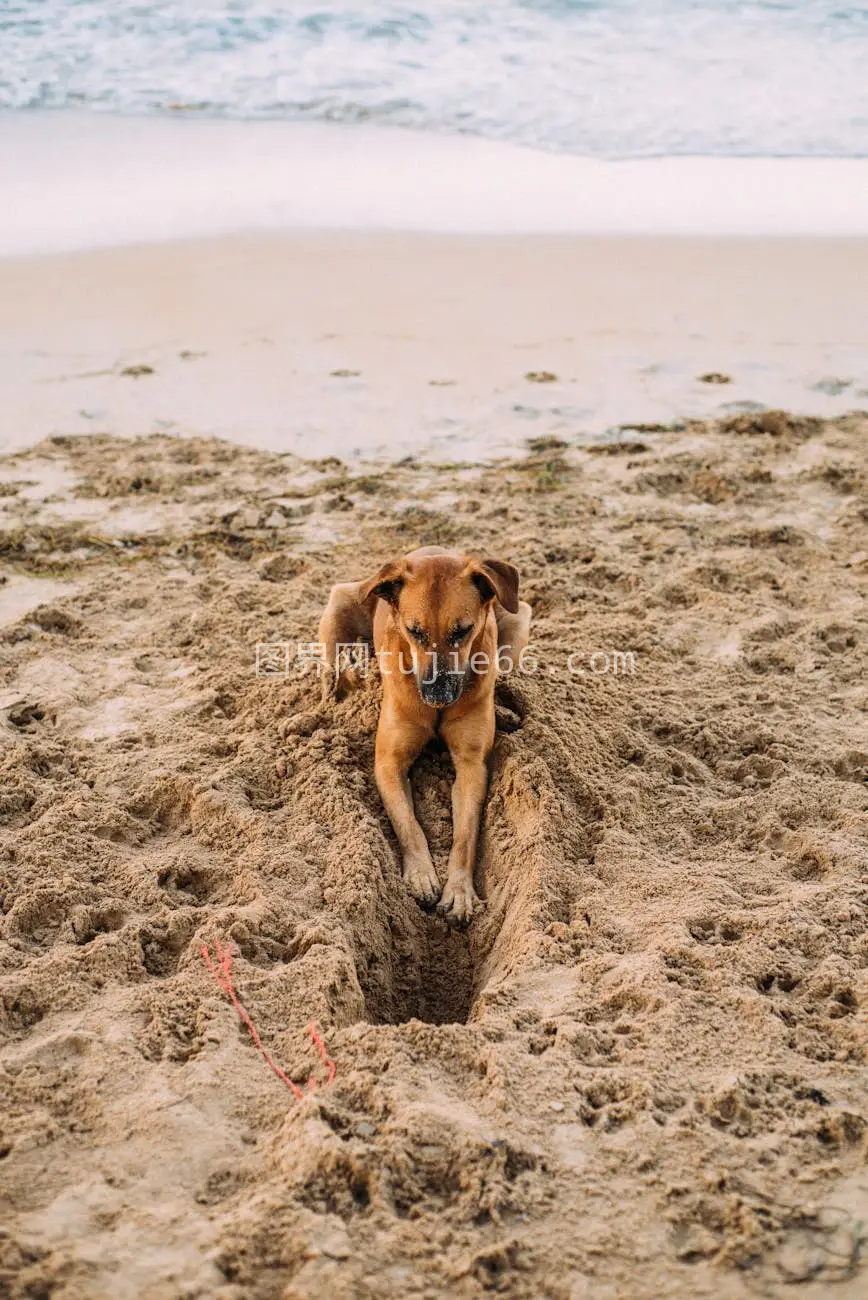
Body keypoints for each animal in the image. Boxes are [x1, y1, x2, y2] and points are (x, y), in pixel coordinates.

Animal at [318, 548, 532, 925]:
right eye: (414, 632)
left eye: (462, 631)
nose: (436, 694)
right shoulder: (388, 763)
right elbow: (407, 822)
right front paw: (420, 874)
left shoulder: (472, 766)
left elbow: (465, 834)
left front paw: (458, 890)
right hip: (340, 603)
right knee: (333, 668)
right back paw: (348, 679)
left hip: (519, 617)